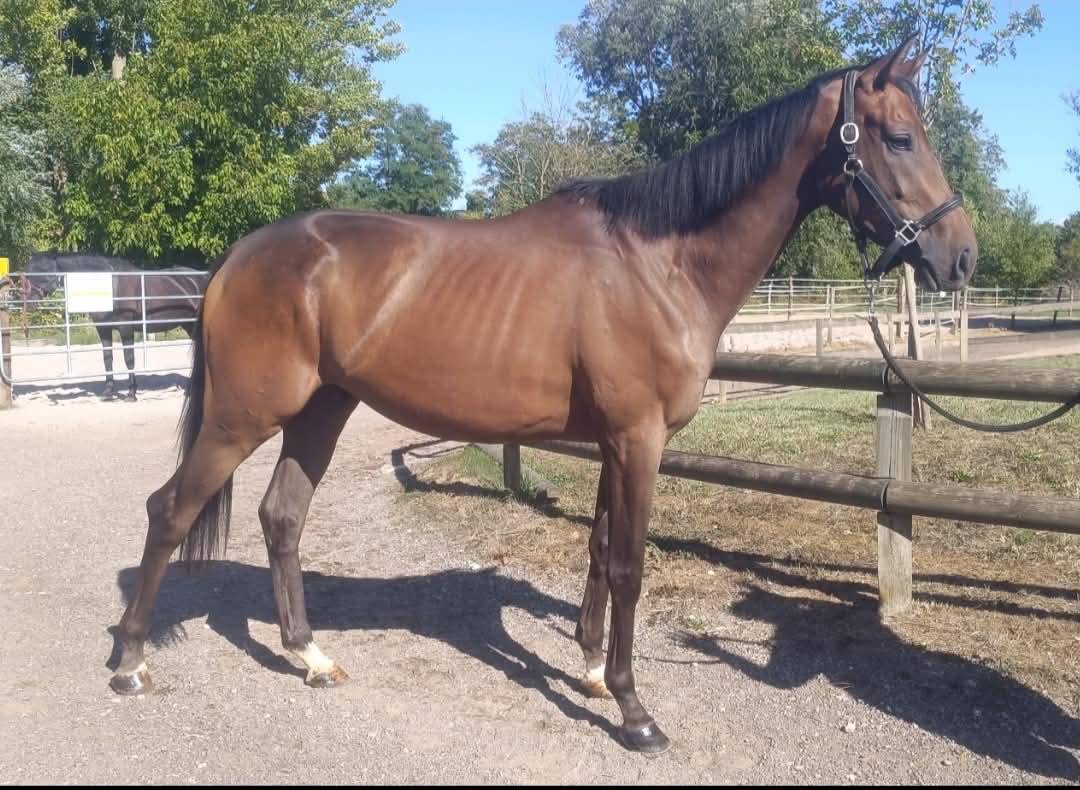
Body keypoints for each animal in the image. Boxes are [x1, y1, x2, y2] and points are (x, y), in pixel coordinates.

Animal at [26, 252, 207, 400]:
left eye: (42, 269)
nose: (28, 302)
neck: (111, 285)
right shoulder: (103, 329)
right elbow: (107, 358)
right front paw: (108, 392)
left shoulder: (125, 328)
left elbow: (129, 359)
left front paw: (131, 394)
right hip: (189, 325)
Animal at [109, 38, 977, 754]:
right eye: (899, 137)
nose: (961, 256)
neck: (657, 264)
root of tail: (237, 256)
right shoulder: (637, 439)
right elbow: (628, 565)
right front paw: (634, 710)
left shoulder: (615, 441)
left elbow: (597, 550)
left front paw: (590, 671)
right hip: (244, 416)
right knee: (168, 511)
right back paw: (129, 663)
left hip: (321, 410)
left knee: (281, 517)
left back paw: (310, 656)